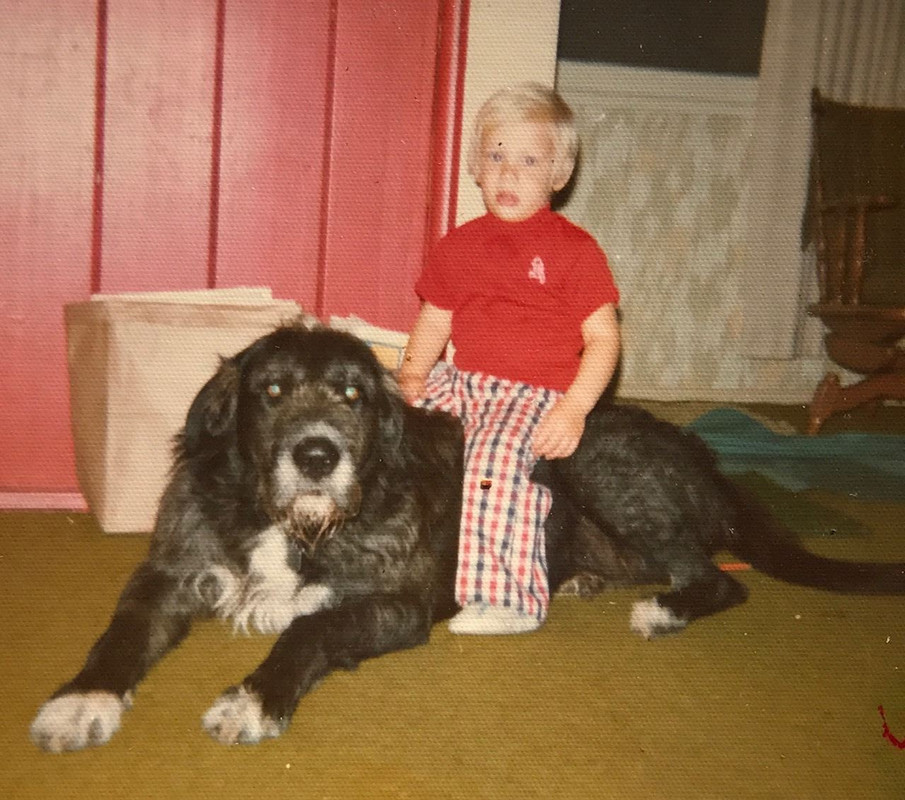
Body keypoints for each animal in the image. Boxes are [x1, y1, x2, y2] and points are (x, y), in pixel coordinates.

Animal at [28, 320, 904, 752]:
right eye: (270, 390)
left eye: (351, 393)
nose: (316, 456)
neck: (293, 523)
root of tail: (697, 451)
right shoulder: (170, 574)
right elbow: (119, 635)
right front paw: (80, 703)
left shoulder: (394, 604)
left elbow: (308, 629)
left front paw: (253, 699)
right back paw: (576, 580)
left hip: (600, 472)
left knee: (719, 576)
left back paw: (661, 609)